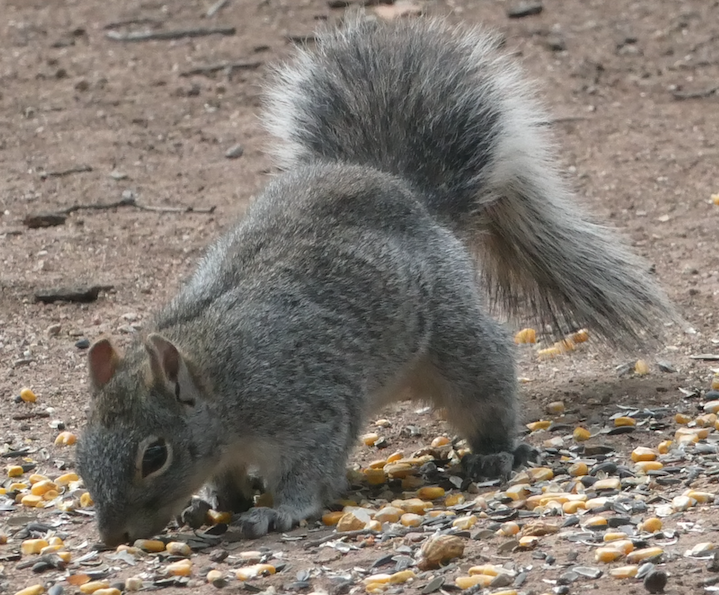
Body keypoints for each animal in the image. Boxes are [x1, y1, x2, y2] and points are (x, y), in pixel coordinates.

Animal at [76, 14, 677, 546]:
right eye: (81, 452)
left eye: (155, 455)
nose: (111, 538)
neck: (218, 379)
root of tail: (406, 192)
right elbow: (227, 479)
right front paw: (218, 503)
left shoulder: (306, 406)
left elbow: (309, 470)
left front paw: (278, 512)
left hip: (457, 343)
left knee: (488, 385)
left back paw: (497, 450)